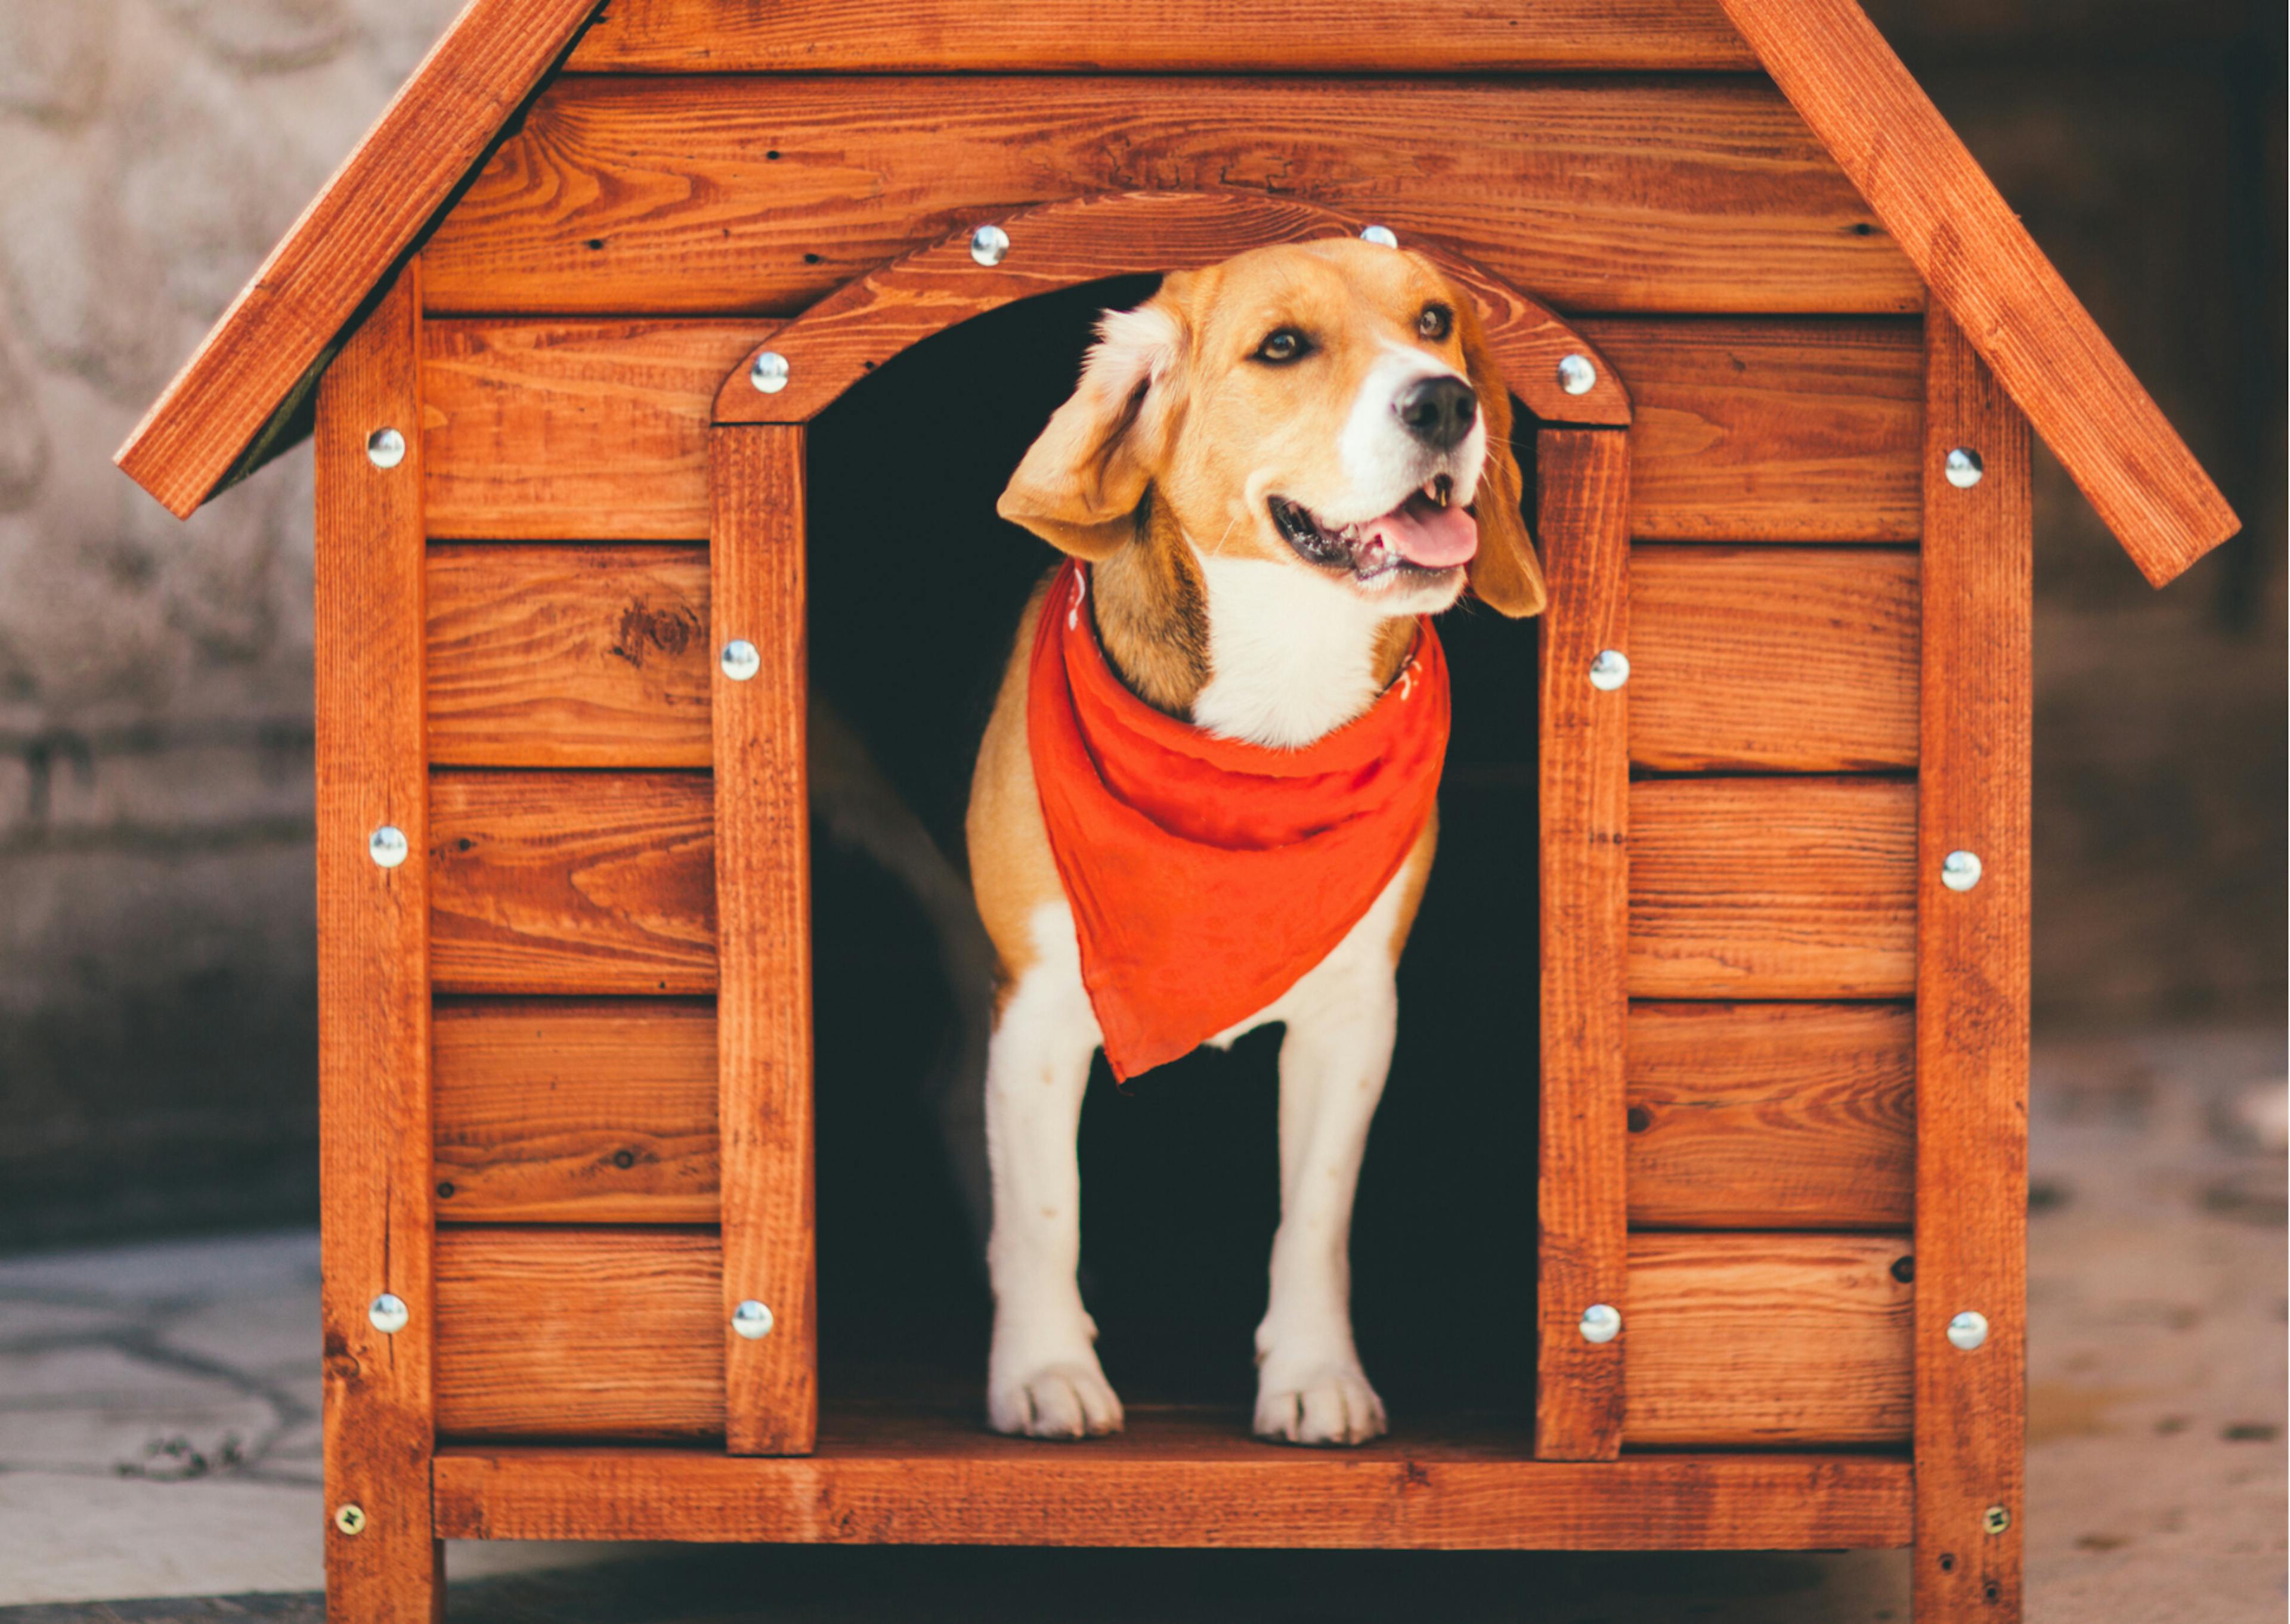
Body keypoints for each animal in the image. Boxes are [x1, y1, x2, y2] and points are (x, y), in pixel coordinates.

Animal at [961, 234, 1539, 1438]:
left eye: (1436, 321)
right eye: (1282, 347)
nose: (1446, 400)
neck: (1285, 678)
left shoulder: (1355, 1015)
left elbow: (1315, 1213)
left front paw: (1314, 1373)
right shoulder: (1035, 1005)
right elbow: (1043, 1208)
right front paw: (1044, 1371)